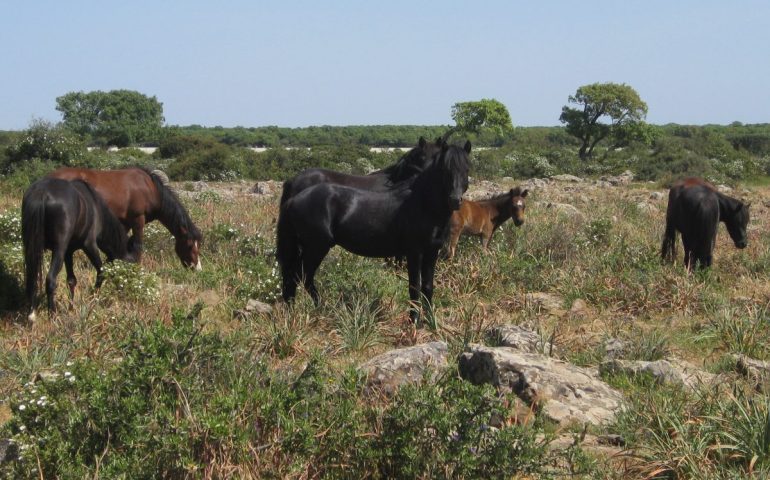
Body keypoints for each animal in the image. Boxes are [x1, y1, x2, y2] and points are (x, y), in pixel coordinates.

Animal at [22, 178, 129, 320]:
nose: (121, 290)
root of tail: (42, 192)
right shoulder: (89, 245)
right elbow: (100, 271)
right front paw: (92, 298)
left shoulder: (68, 252)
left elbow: (71, 280)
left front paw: (71, 308)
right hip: (58, 250)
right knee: (50, 280)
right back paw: (53, 315)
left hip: (32, 249)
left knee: (32, 278)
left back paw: (32, 314)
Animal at [46, 167, 202, 268]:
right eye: (189, 245)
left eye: (198, 245)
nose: (196, 267)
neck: (150, 188)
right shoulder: (138, 220)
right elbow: (137, 246)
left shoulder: (124, 224)